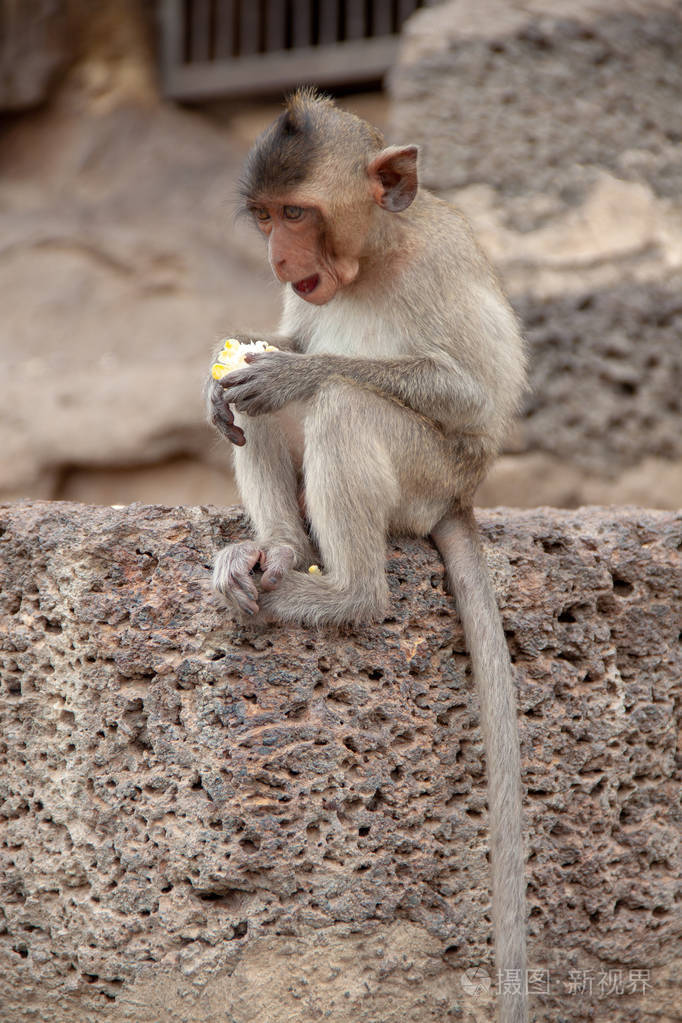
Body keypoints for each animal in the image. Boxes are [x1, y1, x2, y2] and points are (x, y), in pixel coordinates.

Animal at [206, 90, 527, 1023]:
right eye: (266, 217)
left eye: (299, 213)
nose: (280, 258)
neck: (378, 255)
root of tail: (458, 500)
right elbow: (263, 359)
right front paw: (234, 370)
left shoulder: (438, 270)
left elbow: (469, 393)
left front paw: (286, 375)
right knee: (264, 412)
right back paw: (275, 552)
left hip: (428, 477)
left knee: (347, 402)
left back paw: (344, 593)